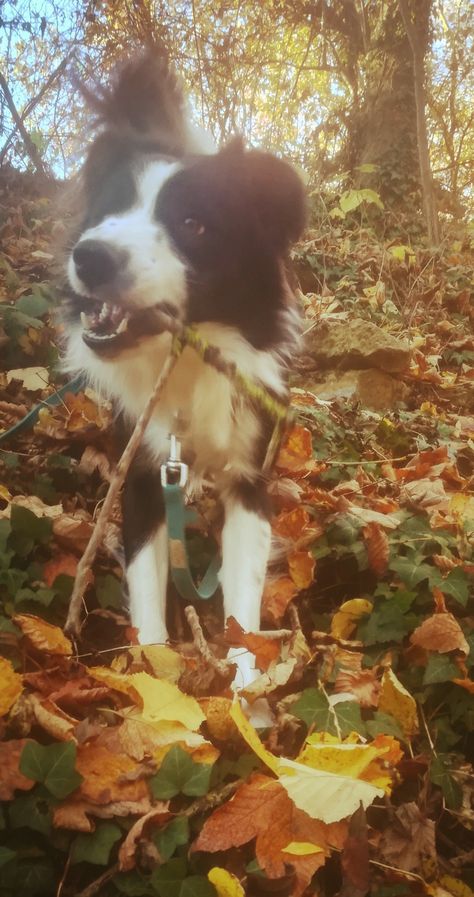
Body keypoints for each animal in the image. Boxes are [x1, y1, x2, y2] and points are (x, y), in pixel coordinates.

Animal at [63, 52, 306, 684]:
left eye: (194, 224)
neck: (190, 359)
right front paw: (153, 674)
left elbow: (242, 593)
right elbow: (146, 583)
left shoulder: (250, 470)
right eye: (108, 210)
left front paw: (245, 684)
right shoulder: (143, 465)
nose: (91, 257)